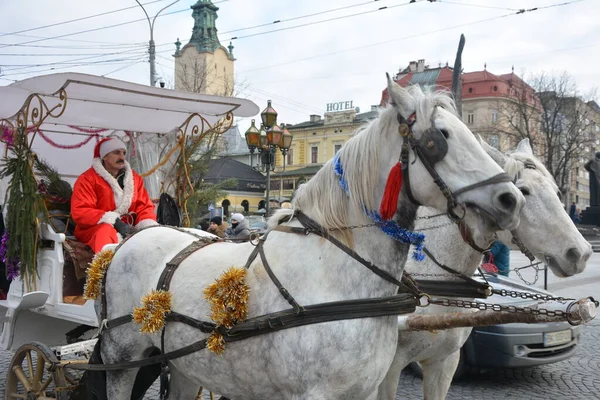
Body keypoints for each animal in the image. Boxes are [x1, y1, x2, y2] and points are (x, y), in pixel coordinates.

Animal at [96, 79, 524, 400]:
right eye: (440, 139)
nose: (512, 199)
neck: (336, 280)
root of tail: (133, 235)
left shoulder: (364, 390)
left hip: (185, 362)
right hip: (121, 357)